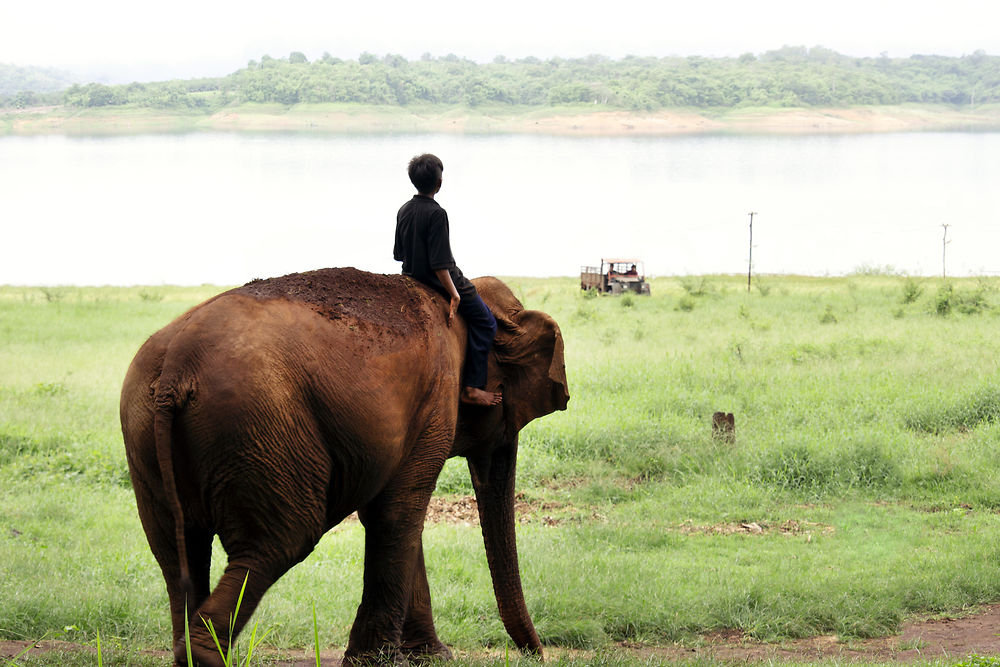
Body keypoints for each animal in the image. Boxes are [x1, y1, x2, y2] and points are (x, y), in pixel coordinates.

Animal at [119, 268, 572, 667]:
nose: (537, 654)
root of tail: (177, 368)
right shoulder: (438, 397)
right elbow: (400, 511)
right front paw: (380, 661)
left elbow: (389, 512)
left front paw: (429, 657)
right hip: (258, 428)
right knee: (281, 539)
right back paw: (204, 655)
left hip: (148, 433)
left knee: (177, 552)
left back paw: (189, 650)